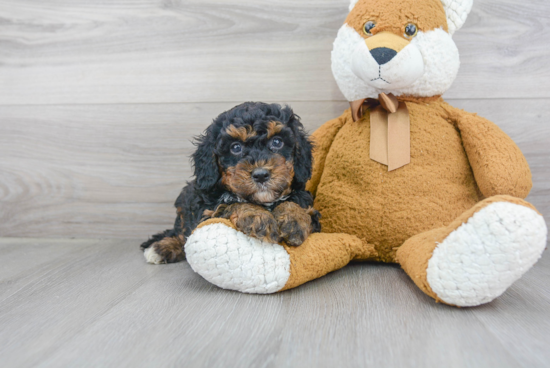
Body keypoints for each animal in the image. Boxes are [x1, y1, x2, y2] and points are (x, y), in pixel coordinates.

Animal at [142, 102, 322, 264]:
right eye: (235, 147)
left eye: (277, 142)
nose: (261, 175)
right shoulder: (205, 212)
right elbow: (231, 204)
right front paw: (257, 216)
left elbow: (297, 202)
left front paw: (294, 219)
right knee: (181, 233)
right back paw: (163, 248)